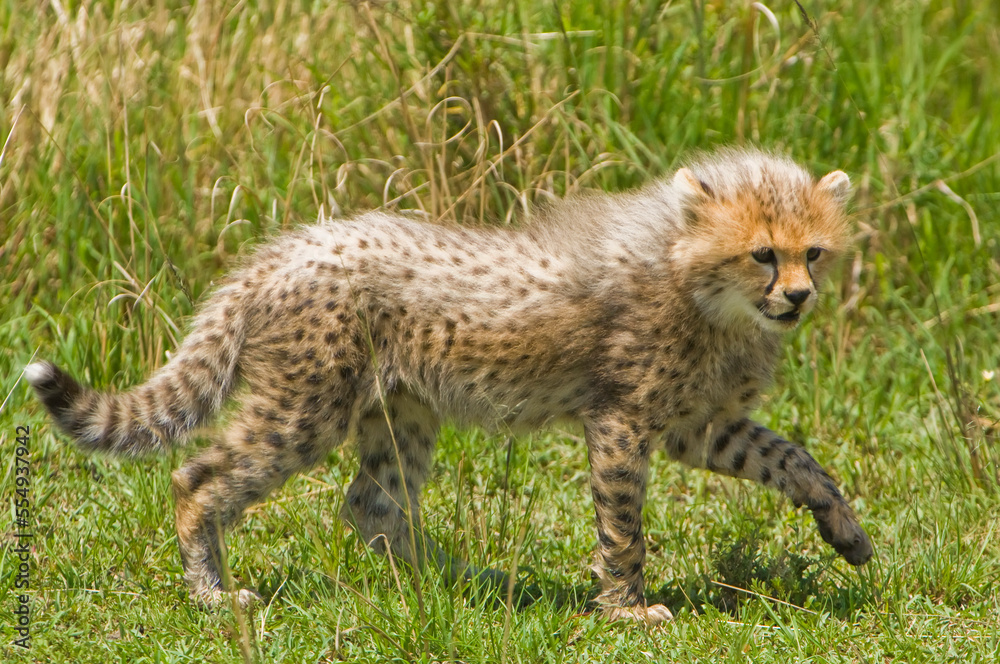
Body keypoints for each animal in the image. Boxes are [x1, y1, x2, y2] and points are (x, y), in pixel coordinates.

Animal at [25, 147, 873, 625]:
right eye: (762, 254)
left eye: (813, 253)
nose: (799, 297)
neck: (689, 275)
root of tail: (288, 247)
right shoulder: (622, 421)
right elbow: (624, 525)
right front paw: (628, 611)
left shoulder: (697, 427)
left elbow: (794, 459)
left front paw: (847, 532)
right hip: (306, 407)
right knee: (200, 479)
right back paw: (212, 595)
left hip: (401, 411)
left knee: (371, 504)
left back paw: (468, 581)